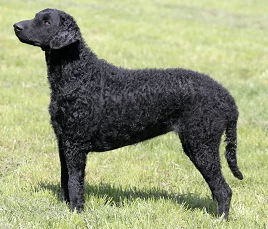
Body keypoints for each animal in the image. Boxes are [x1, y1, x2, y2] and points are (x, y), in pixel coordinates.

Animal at [13, 8, 243, 219]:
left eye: (46, 22)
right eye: (36, 16)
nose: (16, 26)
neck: (80, 74)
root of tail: (227, 97)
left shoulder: (76, 144)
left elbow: (75, 182)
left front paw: (76, 212)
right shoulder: (63, 141)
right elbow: (65, 179)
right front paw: (64, 208)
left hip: (201, 144)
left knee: (224, 190)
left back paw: (220, 219)